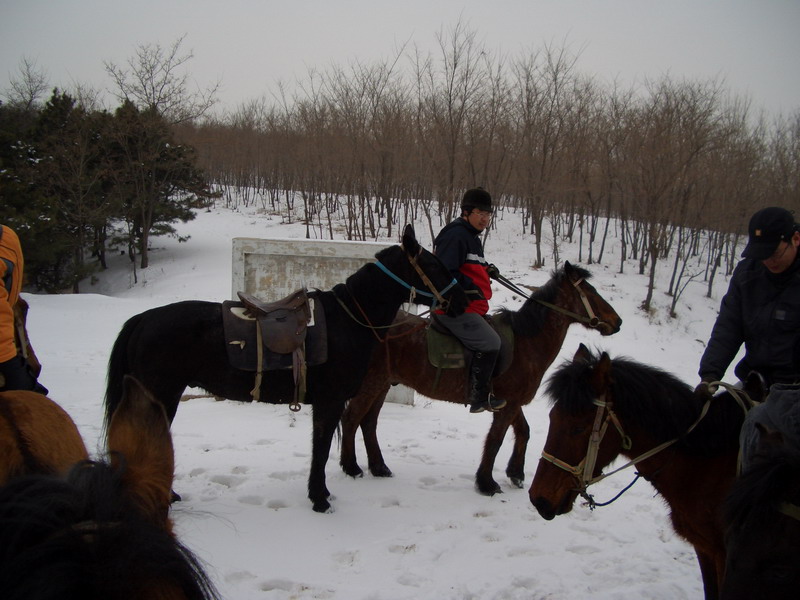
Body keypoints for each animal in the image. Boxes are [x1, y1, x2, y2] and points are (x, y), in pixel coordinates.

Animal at [106, 225, 468, 510]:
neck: (348, 320)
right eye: (433, 264)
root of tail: (142, 320)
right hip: (162, 397)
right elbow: (321, 450)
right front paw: (319, 498)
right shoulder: (328, 401)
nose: (463, 301)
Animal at [340, 260, 620, 494]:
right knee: (351, 419)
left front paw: (516, 473)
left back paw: (379, 467)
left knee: (368, 423)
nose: (617, 322)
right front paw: (486, 483)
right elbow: (495, 440)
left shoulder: (510, 402)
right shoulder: (508, 404)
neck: (527, 342)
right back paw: (350, 466)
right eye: (591, 292)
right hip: (372, 383)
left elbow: (524, 432)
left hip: (383, 384)